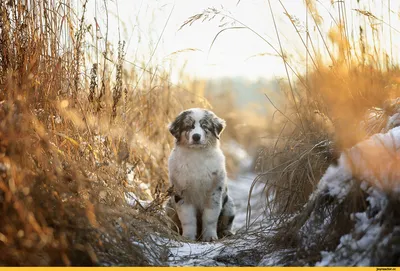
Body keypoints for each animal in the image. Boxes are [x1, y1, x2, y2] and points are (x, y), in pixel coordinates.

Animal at [165, 108, 234, 242]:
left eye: (204, 126)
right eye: (189, 126)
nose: (196, 136)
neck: (196, 155)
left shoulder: (214, 191)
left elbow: (210, 217)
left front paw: (210, 237)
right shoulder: (182, 193)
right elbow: (188, 219)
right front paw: (188, 237)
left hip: (229, 205)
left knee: (226, 223)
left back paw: (227, 233)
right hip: (169, 206)